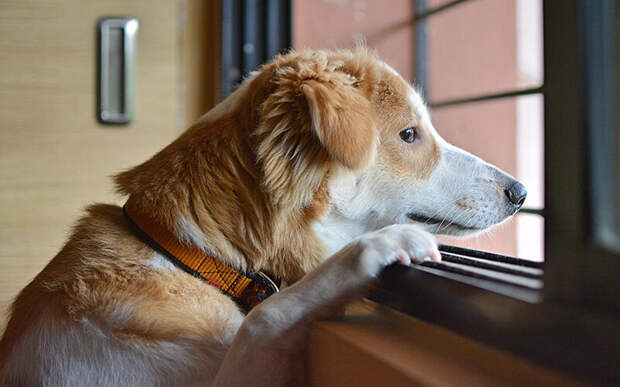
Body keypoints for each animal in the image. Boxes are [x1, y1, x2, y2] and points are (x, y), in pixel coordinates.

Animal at [0, 49, 524, 387]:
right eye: (410, 134)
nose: (520, 192)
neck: (193, 257)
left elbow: (263, 317)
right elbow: (268, 316)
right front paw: (377, 248)